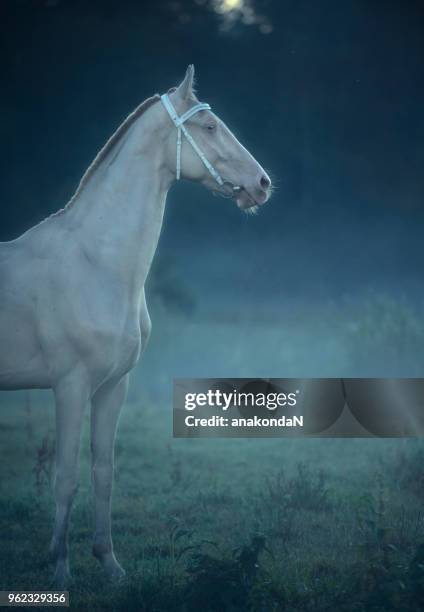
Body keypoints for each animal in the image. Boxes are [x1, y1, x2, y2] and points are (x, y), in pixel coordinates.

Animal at [0, 64, 272, 584]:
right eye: (210, 126)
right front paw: (59, 568)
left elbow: (103, 472)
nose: (263, 183)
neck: (96, 262)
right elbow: (65, 476)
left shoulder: (113, 386)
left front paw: (109, 564)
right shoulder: (70, 386)